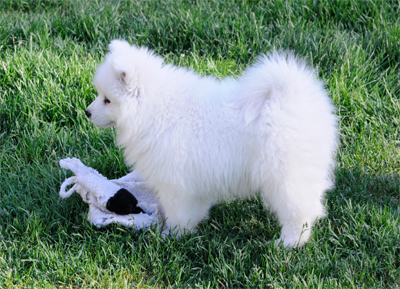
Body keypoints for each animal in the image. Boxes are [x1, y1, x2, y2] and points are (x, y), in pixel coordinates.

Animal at [85, 40, 338, 248]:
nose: (87, 112)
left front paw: (172, 235)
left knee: (297, 212)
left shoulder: (175, 182)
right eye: (100, 95)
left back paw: (288, 243)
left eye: (107, 100)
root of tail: (292, 96)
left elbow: (178, 212)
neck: (154, 108)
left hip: (284, 175)